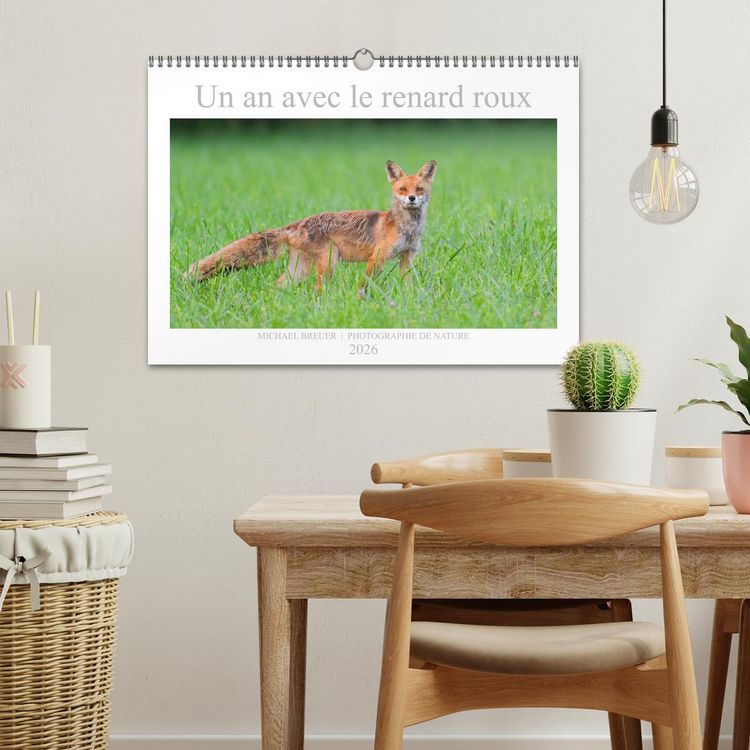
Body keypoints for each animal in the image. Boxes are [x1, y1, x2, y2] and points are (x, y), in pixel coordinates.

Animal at [188, 159, 437, 291]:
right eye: (402, 189)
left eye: (419, 189)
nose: (411, 199)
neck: (406, 228)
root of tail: (296, 223)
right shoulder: (377, 257)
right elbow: (364, 284)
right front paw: (360, 300)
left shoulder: (407, 258)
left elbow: (409, 285)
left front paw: (409, 302)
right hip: (329, 263)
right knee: (317, 289)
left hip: (299, 269)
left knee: (278, 284)